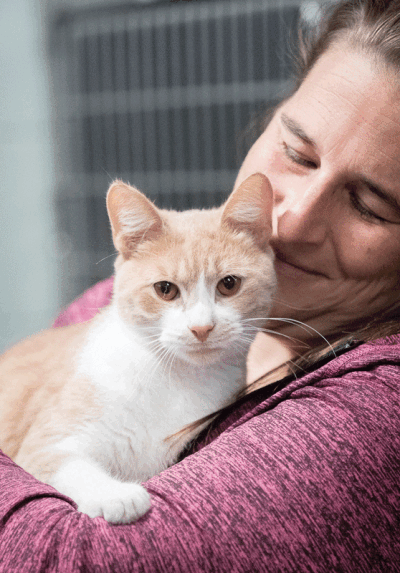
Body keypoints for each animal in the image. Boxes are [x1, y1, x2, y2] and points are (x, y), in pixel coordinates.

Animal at [0, 173, 276, 524]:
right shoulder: (45, 444)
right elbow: (67, 463)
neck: (176, 379)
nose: (201, 328)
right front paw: (114, 494)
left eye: (229, 284)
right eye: (165, 289)